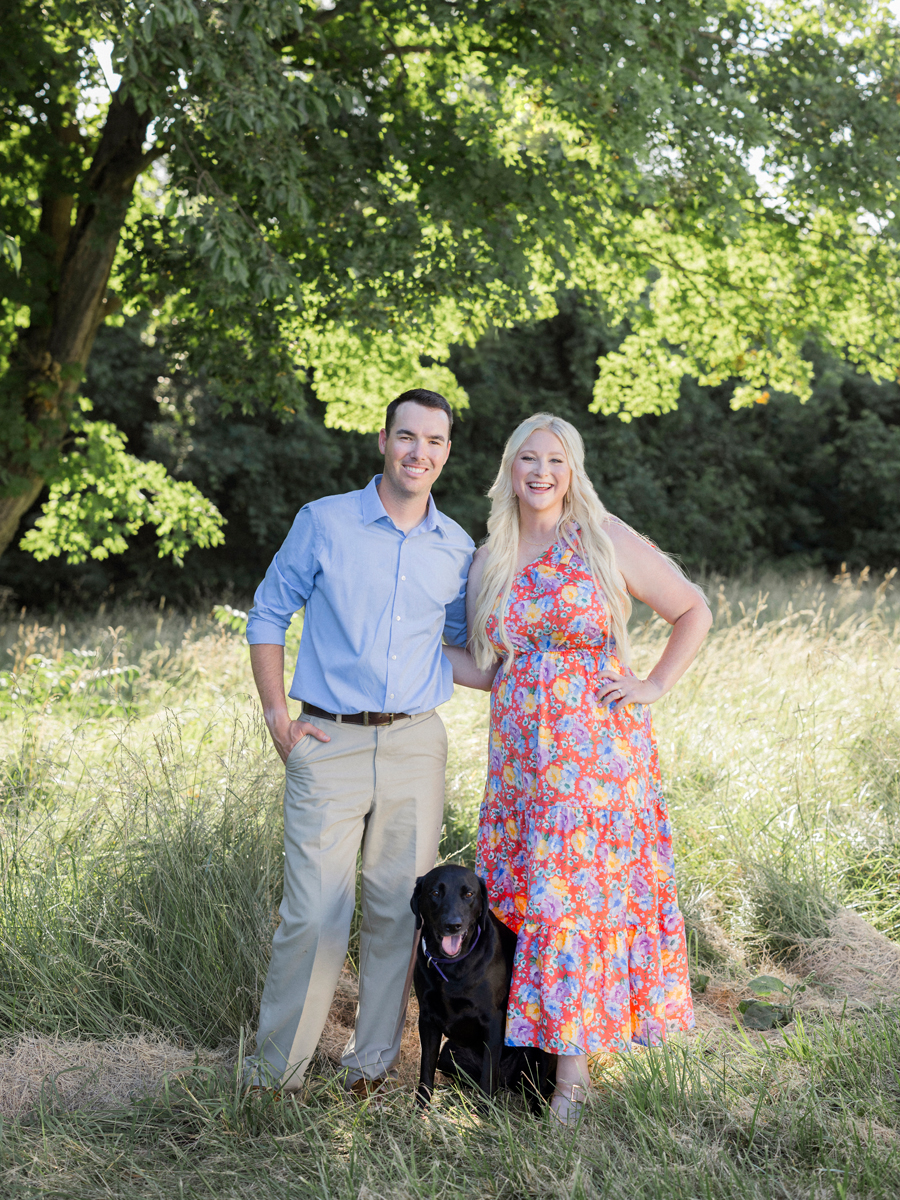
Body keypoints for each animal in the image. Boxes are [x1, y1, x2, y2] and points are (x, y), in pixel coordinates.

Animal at [410, 864, 554, 1104]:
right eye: (435, 893)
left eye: (469, 894)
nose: (453, 925)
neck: (453, 967)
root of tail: (508, 1083)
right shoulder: (427, 1019)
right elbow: (426, 1072)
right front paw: (421, 1107)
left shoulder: (493, 1022)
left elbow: (488, 1077)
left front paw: (486, 1111)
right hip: (448, 1054)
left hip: (541, 1050)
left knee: (539, 1090)